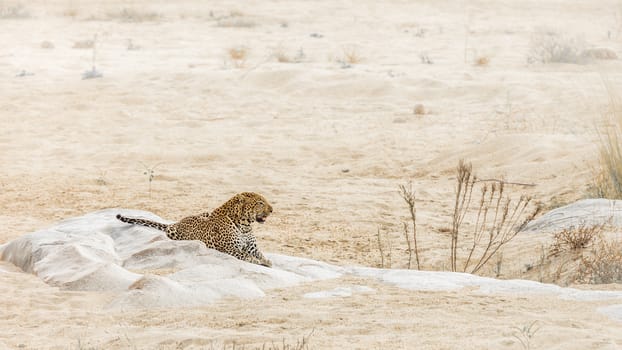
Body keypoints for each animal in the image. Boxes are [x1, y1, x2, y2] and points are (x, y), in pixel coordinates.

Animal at [117, 193, 272, 266]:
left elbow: (260, 254)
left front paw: (267, 261)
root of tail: (177, 222)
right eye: (260, 203)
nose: (272, 209)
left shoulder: (252, 247)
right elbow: (245, 255)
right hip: (173, 233)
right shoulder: (228, 249)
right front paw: (258, 261)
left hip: (205, 212)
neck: (245, 225)